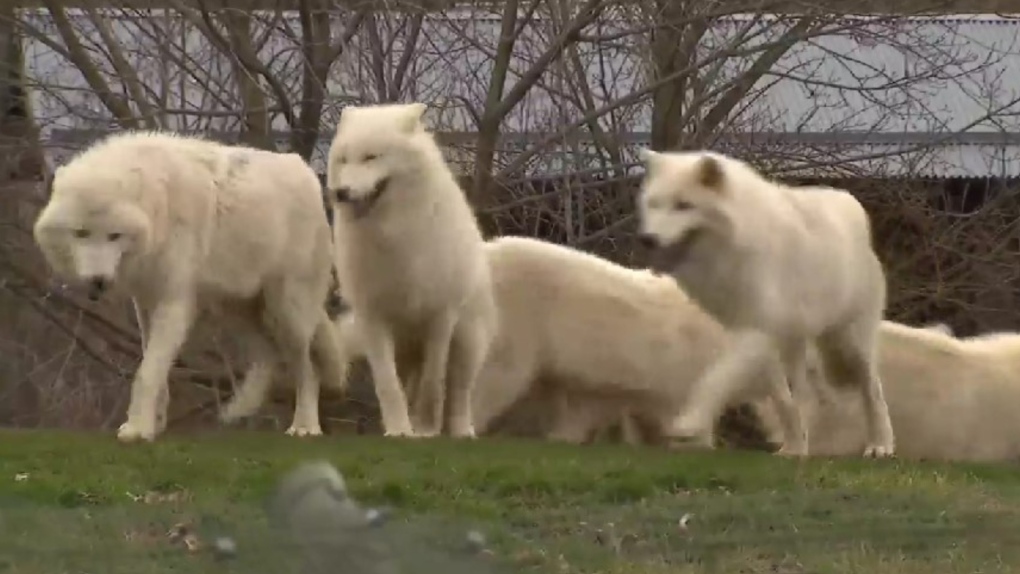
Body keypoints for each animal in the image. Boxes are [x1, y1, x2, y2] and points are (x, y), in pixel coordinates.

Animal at [324, 103, 495, 438]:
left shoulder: (440, 315)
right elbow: (388, 385)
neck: (393, 236)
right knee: (406, 382)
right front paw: (399, 429)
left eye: (371, 157)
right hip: (402, 348)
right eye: (344, 160)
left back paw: (460, 431)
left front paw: (426, 427)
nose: (341, 192)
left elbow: (433, 380)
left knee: (459, 393)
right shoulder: (372, 317)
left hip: (467, 342)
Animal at [636, 150, 893, 460]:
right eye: (654, 204)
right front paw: (792, 447)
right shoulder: (754, 337)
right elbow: (782, 400)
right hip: (798, 346)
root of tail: (853, 207)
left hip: (851, 344)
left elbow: (715, 377)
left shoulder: (756, 330)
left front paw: (689, 424)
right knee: (804, 396)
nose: (647, 240)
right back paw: (799, 448)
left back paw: (880, 445)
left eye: (683, 205)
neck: (733, 247)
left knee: (873, 390)